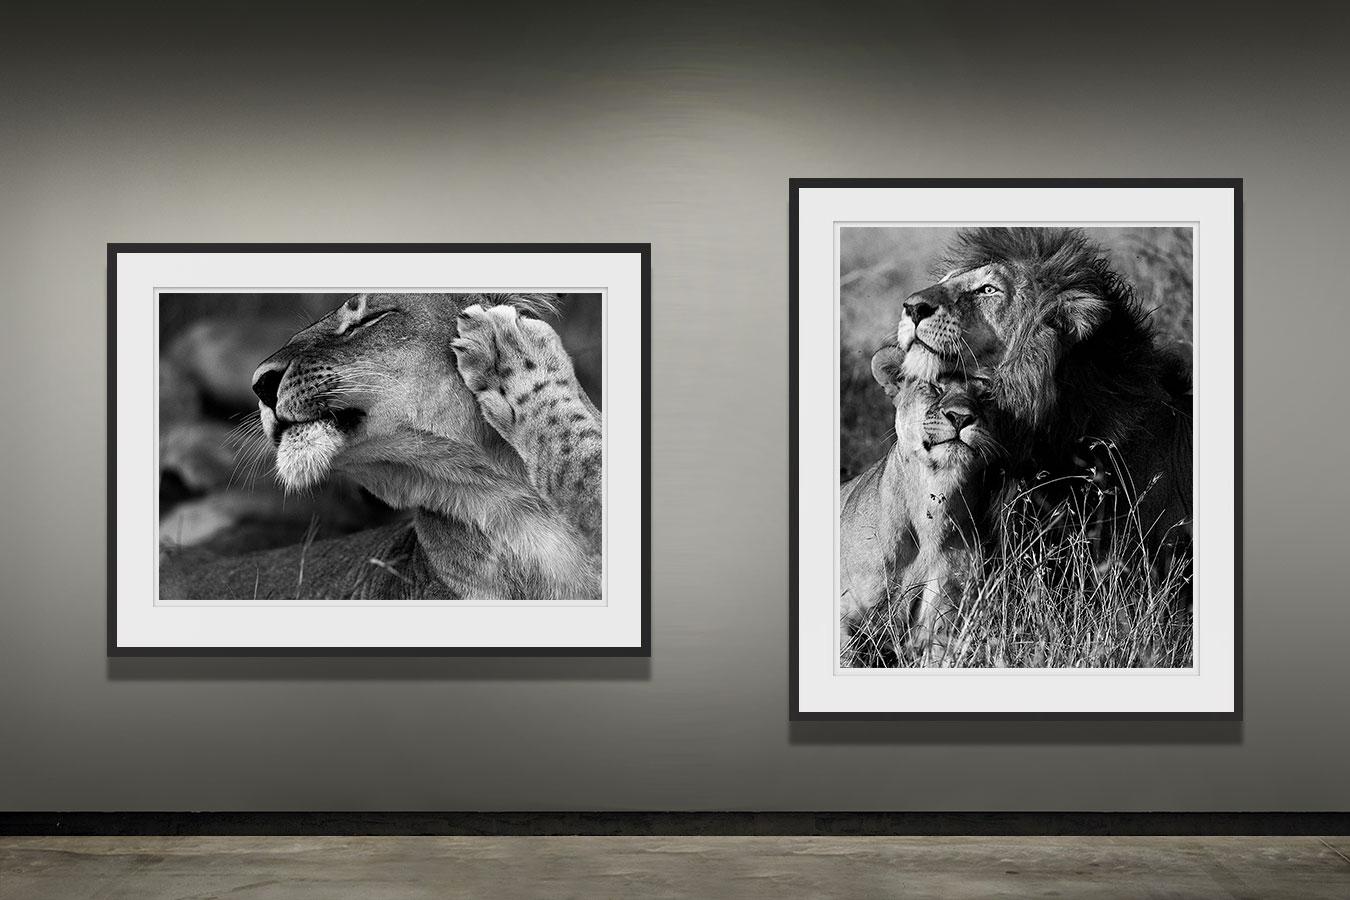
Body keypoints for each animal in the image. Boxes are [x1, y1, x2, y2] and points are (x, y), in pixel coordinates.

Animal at [160, 294, 602, 602]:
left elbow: (583, 461)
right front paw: (507, 349)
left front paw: (510, 351)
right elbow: (583, 465)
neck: (512, 511)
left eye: (367, 319)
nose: (260, 382)